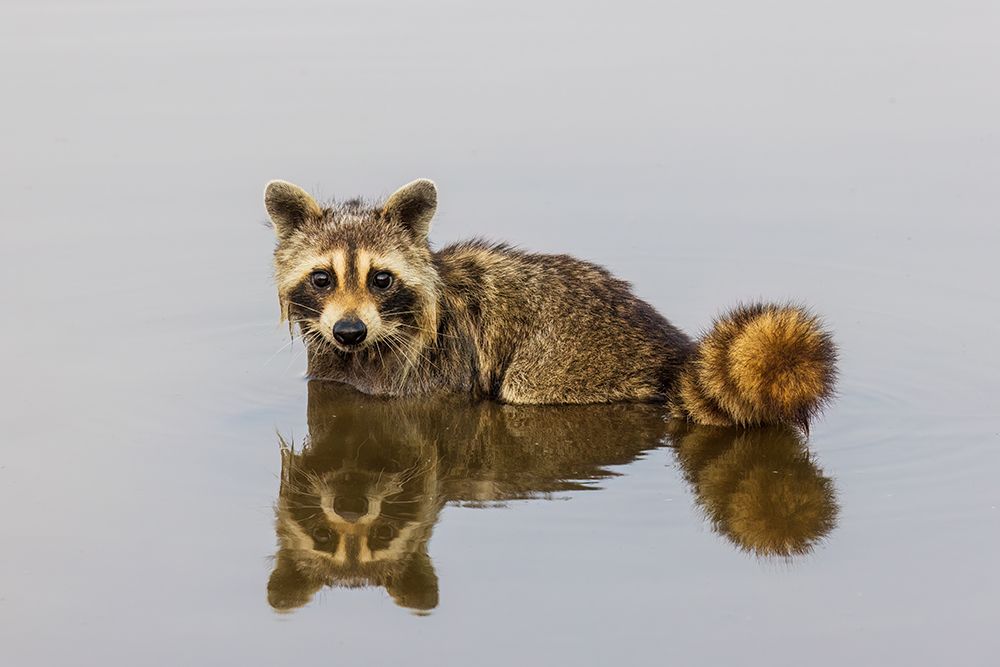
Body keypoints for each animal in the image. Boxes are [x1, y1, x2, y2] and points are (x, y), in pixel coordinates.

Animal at [265, 178, 837, 430]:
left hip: (570, 360)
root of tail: (672, 346)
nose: (349, 332)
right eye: (322, 278)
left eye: (380, 278)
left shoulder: (433, 369)